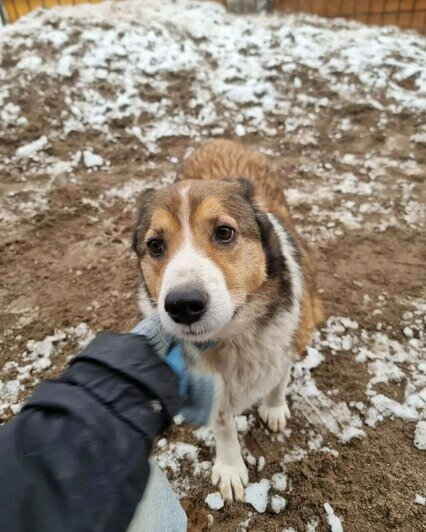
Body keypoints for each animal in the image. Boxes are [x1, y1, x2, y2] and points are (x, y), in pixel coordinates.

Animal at [133, 139, 322, 500]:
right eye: (155, 245)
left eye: (224, 232)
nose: (183, 305)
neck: (235, 335)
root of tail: (218, 140)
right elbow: (222, 424)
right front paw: (231, 468)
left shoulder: (289, 338)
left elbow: (279, 378)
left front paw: (274, 409)